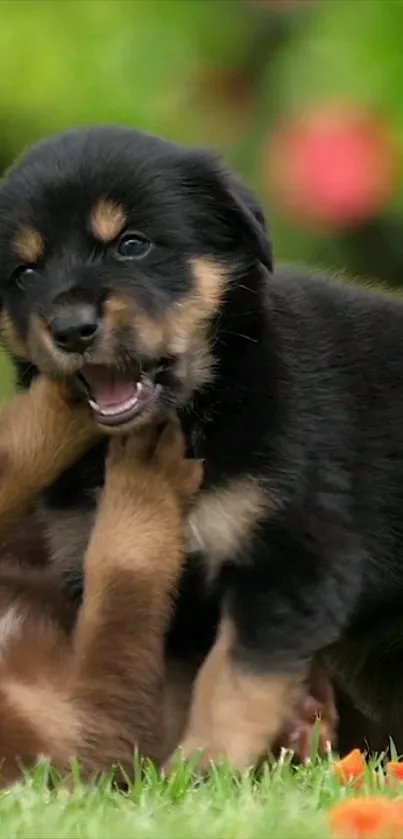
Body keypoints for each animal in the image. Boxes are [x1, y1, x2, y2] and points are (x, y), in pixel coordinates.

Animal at [0, 126, 400, 776]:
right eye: (24, 270)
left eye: (132, 245)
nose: (71, 328)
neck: (210, 404)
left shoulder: (293, 557)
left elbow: (233, 682)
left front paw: (204, 771)